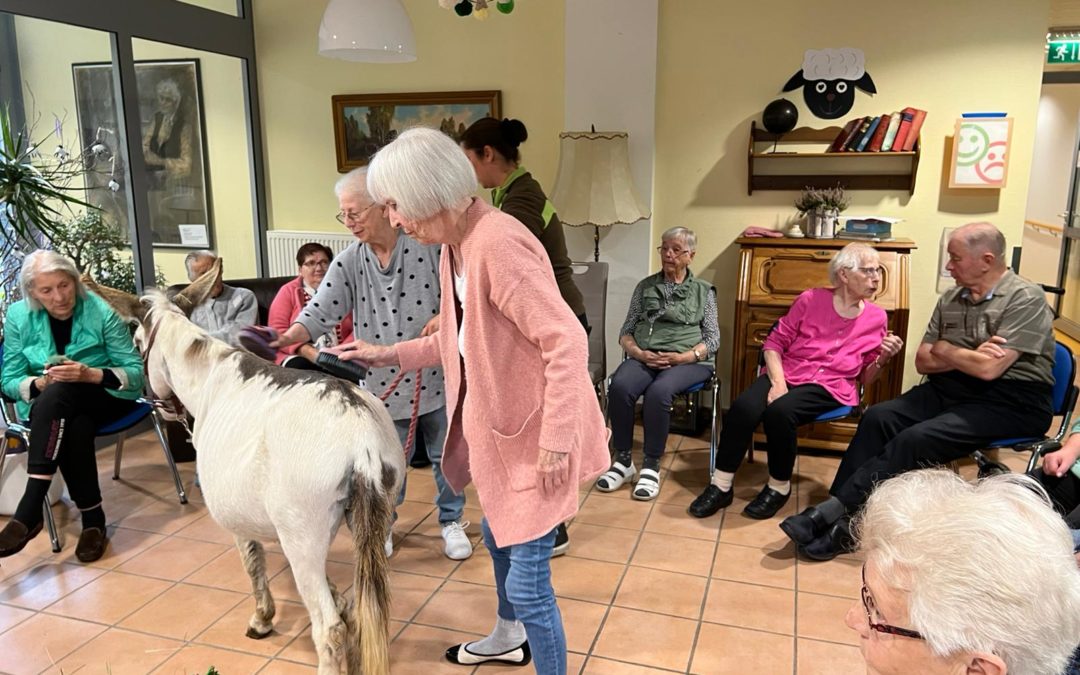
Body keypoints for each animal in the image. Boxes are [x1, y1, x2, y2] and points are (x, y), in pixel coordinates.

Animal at [90, 263, 403, 673]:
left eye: (138, 343)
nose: (159, 407)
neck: (209, 378)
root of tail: (359, 433)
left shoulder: (237, 519)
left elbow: (253, 563)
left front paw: (262, 619)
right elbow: (340, 600)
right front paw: (338, 601)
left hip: (302, 535)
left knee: (329, 629)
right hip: (370, 521)